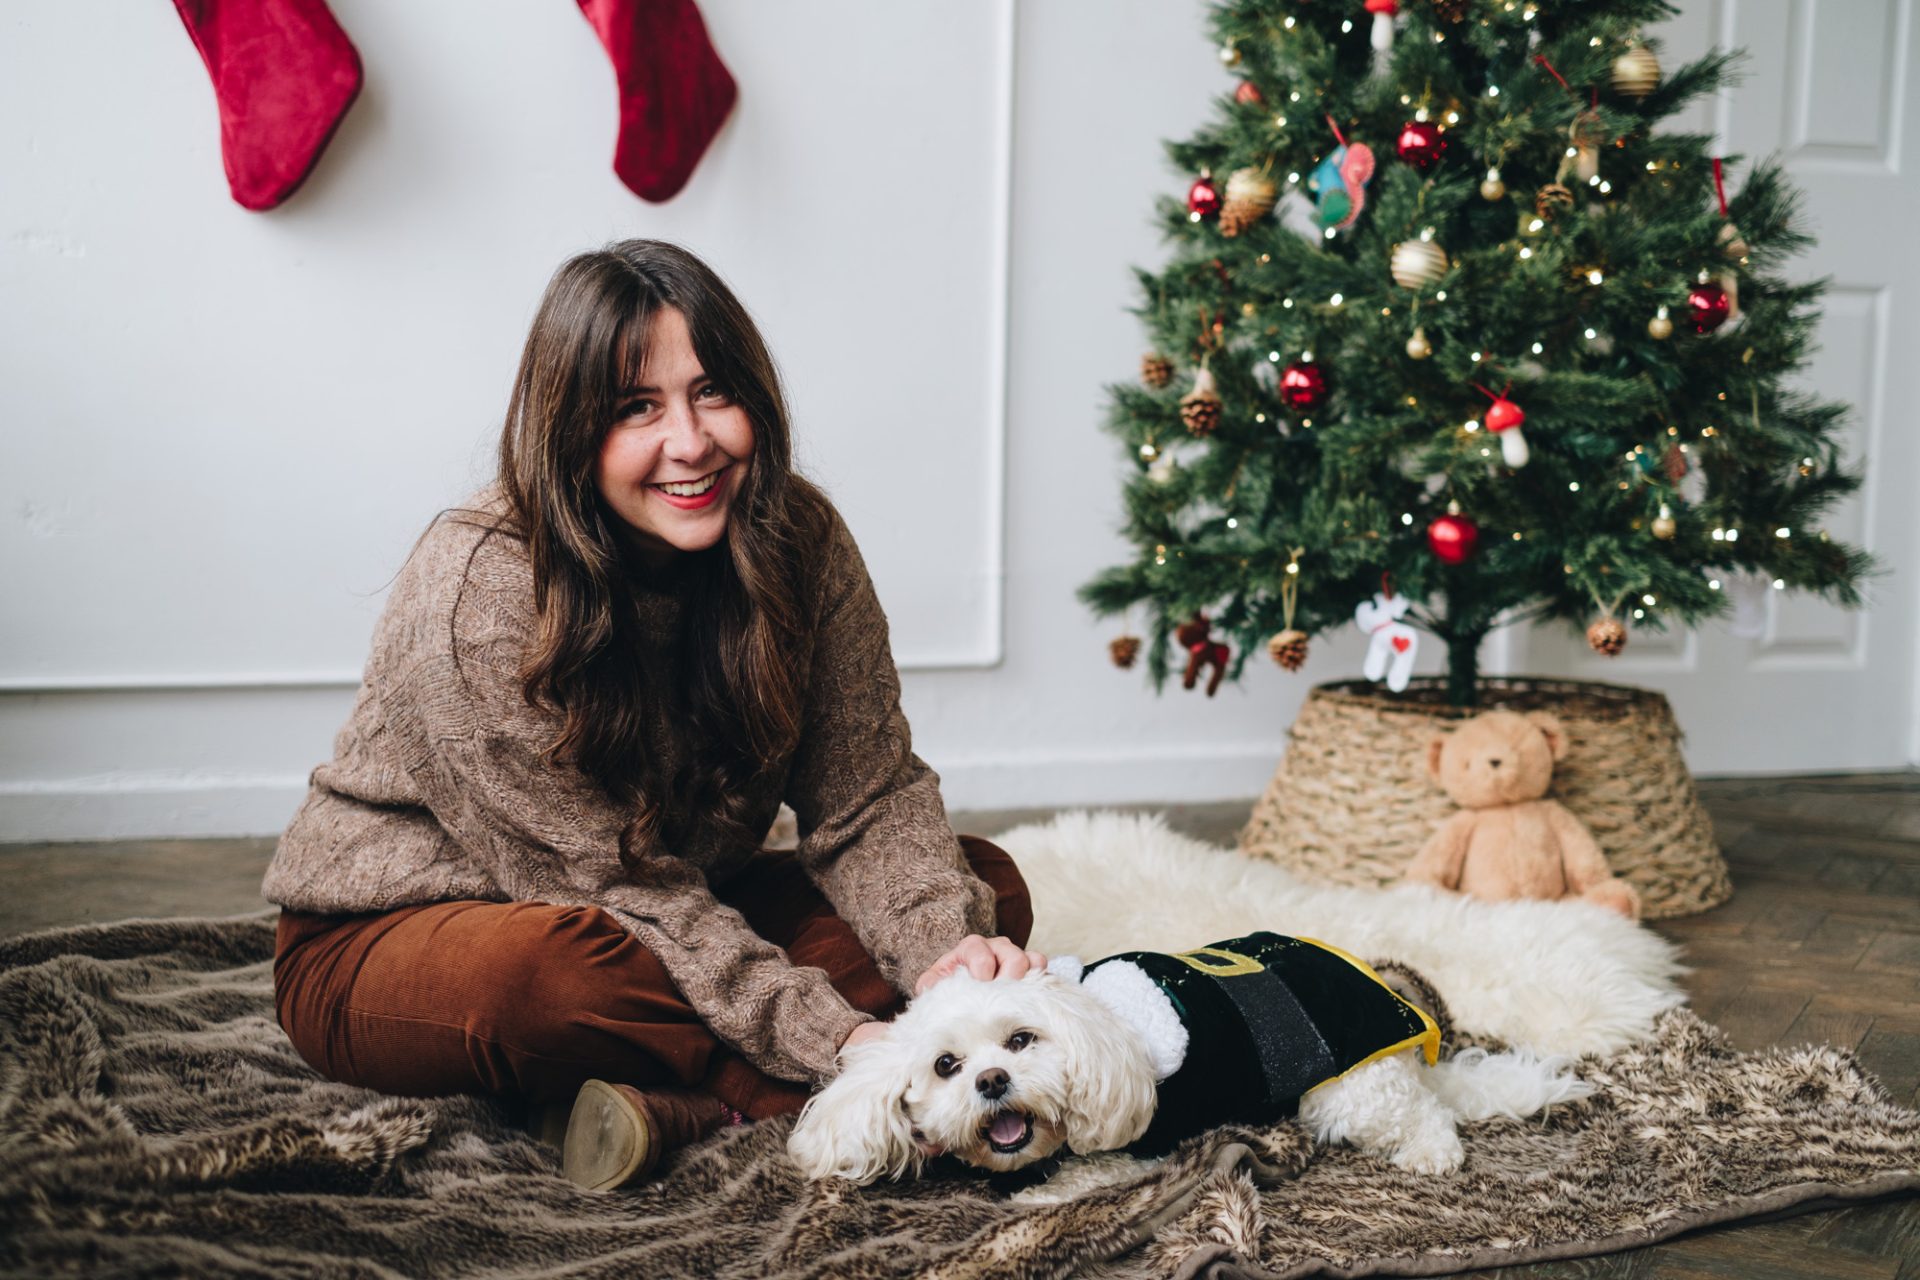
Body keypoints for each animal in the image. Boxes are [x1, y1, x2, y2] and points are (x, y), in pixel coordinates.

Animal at [783, 955, 1589, 1189]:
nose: (991, 1082)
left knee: (1424, 1114)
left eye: (1021, 1041)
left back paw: (1433, 1151)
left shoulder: (1121, 1156)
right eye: (947, 1065)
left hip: (1345, 1094)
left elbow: (1067, 1184)